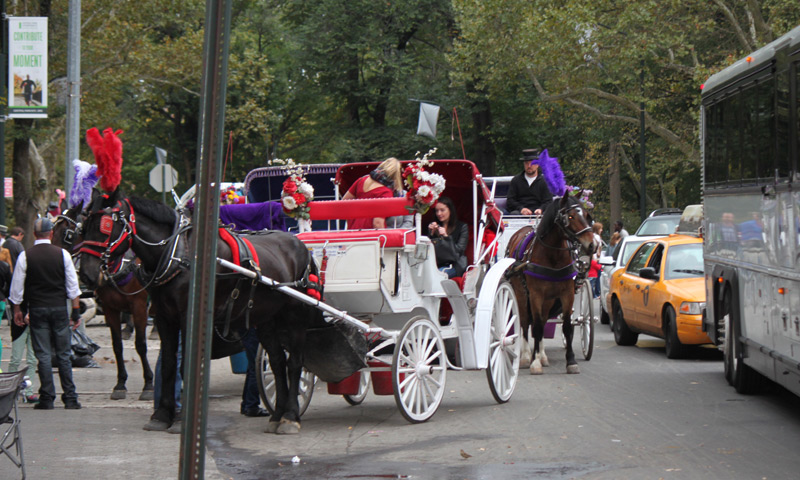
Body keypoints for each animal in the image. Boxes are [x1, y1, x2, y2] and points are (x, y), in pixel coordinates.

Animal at [53, 204, 155, 400]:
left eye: (66, 233)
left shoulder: (139, 306)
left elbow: (140, 345)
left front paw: (148, 384)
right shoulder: (110, 308)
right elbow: (117, 346)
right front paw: (120, 384)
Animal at [77, 188, 322, 436]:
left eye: (106, 226)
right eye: (84, 226)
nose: (86, 274)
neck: (177, 254)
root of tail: (301, 246)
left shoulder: (188, 317)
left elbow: (185, 365)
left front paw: (180, 421)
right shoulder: (164, 319)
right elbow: (168, 365)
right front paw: (161, 415)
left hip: (295, 317)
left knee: (295, 364)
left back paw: (290, 416)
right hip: (266, 320)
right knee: (277, 362)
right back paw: (278, 414)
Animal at [506, 195, 592, 376]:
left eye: (586, 215)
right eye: (570, 216)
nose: (592, 244)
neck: (553, 257)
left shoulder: (567, 294)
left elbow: (565, 326)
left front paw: (571, 362)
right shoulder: (535, 294)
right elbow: (536, 325)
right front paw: (534, 362)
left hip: (548, 299)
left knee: (543, 321)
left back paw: (542, 355)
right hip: (521, 293)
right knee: (525, 321)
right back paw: (526, 356)